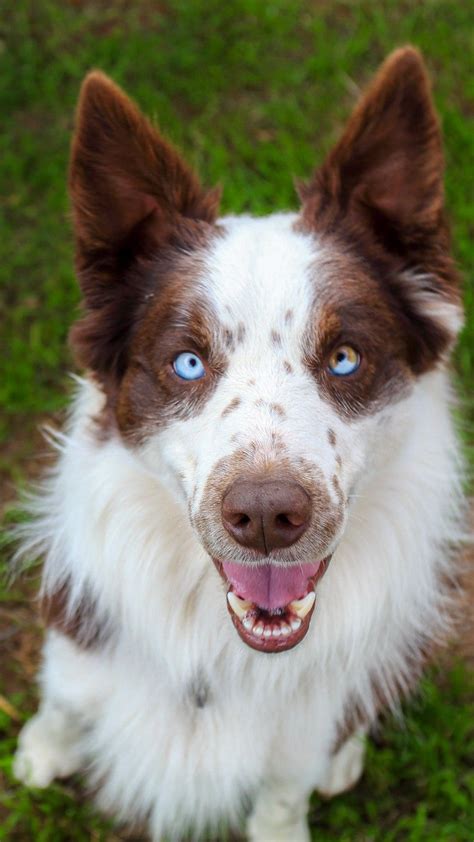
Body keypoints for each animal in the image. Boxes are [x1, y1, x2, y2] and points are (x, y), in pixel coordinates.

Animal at [13, 47, 462, 840]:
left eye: (345, 357)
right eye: (188, 362)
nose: (263, 516)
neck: (222, 650)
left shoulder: (303, 733)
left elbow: (285, 788)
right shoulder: (80, 637)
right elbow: (66, 696)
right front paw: (41, 750)